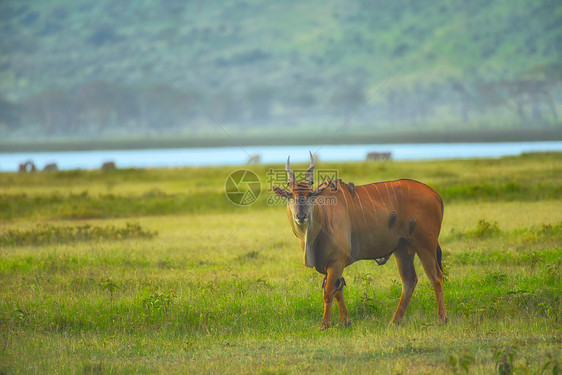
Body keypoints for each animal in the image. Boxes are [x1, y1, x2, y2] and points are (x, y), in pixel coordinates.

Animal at [272, 153, 446, 328]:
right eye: (290, 195)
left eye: (311, 195)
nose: (301, 216)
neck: (324, 216)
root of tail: (435, 194)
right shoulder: (331, 265)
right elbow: (338, 291)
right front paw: (346, 321)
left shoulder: (336, 261)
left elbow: (328, 293)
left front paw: (324, 325)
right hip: (403, 249)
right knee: (409, 281)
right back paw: (394, 321)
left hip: (425, 244)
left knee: (435, 276)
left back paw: (441, 318)